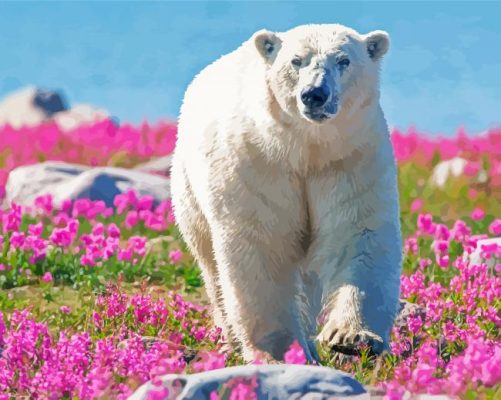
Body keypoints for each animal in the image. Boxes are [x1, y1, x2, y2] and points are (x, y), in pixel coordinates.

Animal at [171, 24, 402, 362]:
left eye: (344, 60)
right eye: (296, 60)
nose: (315, 94)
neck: (305, 149)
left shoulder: (351, 160)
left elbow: (358, 234)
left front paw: (351, 336)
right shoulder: (258, 164)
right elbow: (263, 245)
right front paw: (279, 351)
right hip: (188, 191)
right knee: (211, 266)